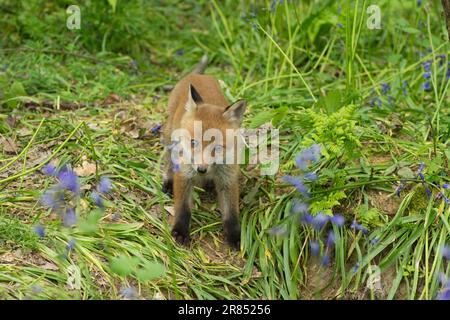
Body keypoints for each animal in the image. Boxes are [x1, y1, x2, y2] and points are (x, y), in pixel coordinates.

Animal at [162, 55, 246, 250]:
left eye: (217, 148)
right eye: (193, 143)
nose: (201, 169)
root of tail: (196, 76)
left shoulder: (228, 178)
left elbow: (231, 214)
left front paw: (235, 237)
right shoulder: (185, 173)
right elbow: (183, 209)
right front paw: (180, 231)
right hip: (170, 138)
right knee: (169, 161)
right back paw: (168, 180)